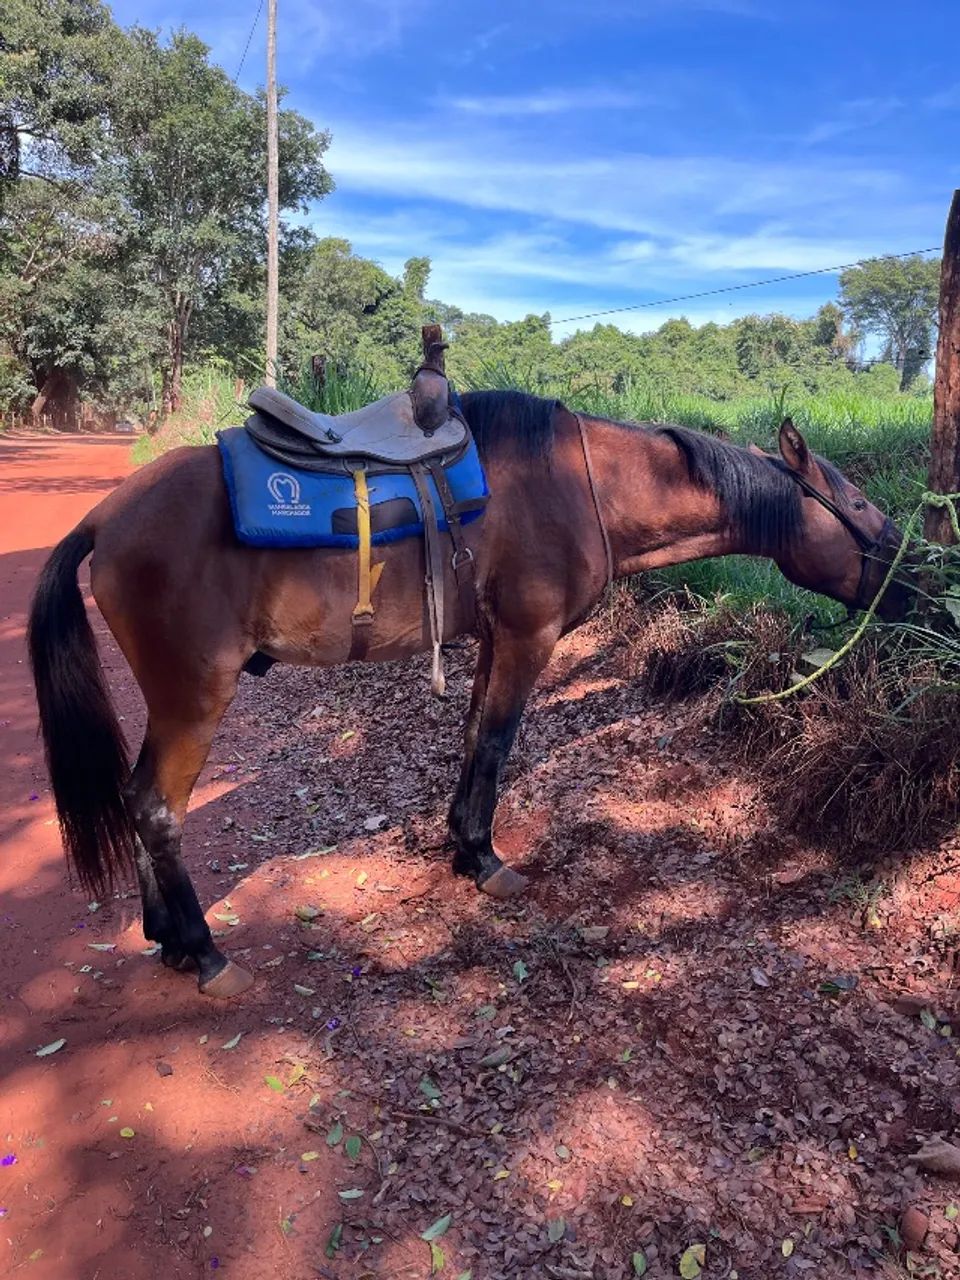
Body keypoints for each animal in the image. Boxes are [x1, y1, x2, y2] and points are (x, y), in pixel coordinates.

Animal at [28, 391, 908, 997]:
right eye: (861, 504)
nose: (920, 578)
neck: (579, 484)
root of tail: (107, 518)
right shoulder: (528, 637)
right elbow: (495, 741)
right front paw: (485, 859)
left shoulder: (493, 640)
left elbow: (472, 737)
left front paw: (461, 844)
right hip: (194, 696)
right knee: (156, 808)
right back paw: (205, 952)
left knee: (139, 797)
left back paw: (169, 938)